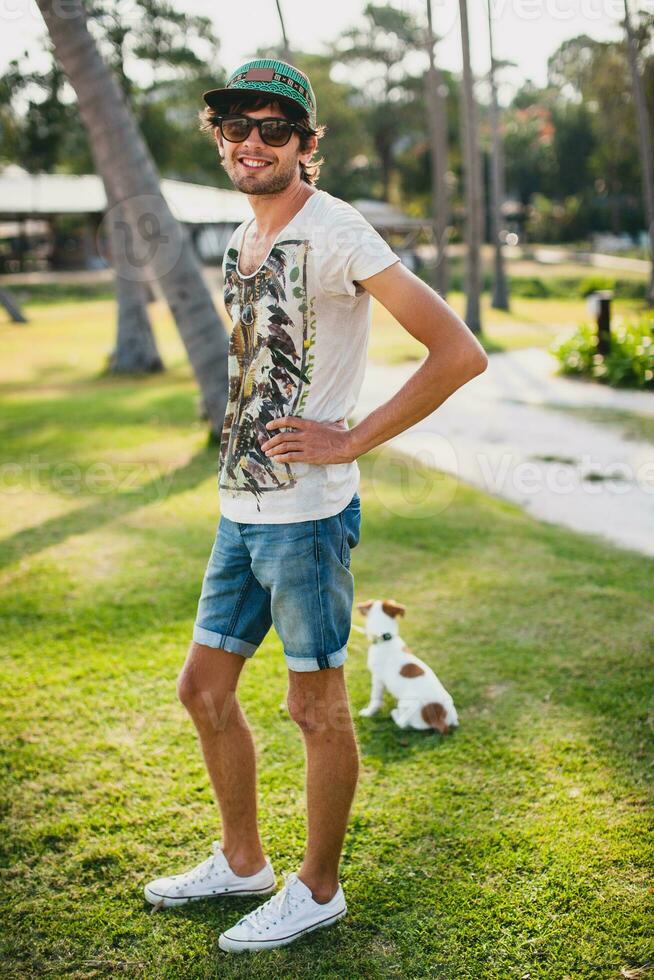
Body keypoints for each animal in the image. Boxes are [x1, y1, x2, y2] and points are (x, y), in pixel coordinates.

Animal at [356, 596, 458, 736]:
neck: (386, 638)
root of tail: (441, 720)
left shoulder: (377, 678)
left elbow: (375, 699)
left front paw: (368, 712)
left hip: (406, 704)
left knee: (402, 724)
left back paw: (394, 713)